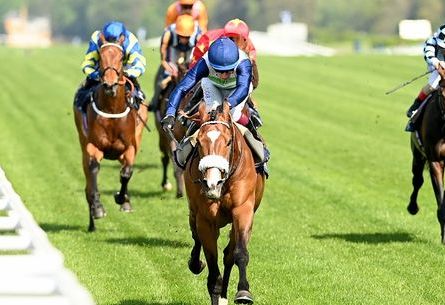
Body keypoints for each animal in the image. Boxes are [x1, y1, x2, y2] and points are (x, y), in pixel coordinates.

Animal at [73, 34, 147, 230]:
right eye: (101, 55)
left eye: (121, 58)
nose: (109, 84)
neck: (113, 110)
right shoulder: (93, 146)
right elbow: (93, 170)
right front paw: (98, 207)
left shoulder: (129, 148)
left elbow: (126, 173)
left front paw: (122, 199)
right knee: (88, 181)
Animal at [183, 101, 264, 304]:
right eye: (199, 142)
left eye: (228, 142)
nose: (212, 183)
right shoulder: (205, 220)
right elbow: (213, 274)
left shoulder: (243, 210)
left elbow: (239, 253)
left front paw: (243, 291)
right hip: (194, 212)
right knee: (196, 236)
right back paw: (196, 263)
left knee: (229, 254)